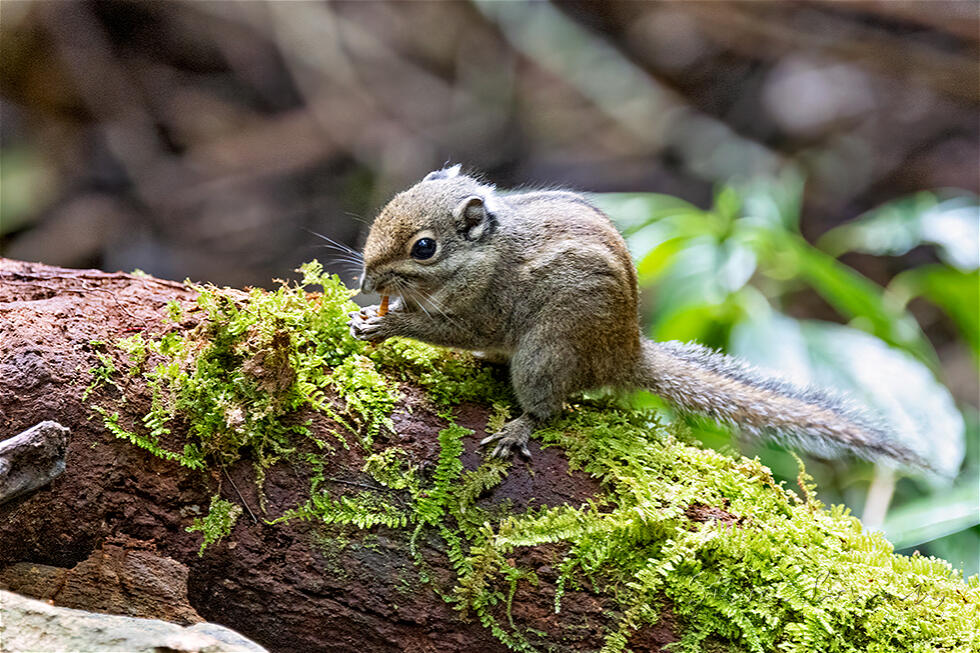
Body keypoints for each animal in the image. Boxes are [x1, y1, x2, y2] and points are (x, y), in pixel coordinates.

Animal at [348, 165, 926, 469]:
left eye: (424, 248)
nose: (366, 282)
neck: (480, 254)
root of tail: (623, 353)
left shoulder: (485, 307)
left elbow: (448, 328)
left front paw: (389, 323)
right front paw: (369, 315)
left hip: (545, 354)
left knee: (549, 406)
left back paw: (519, 427)